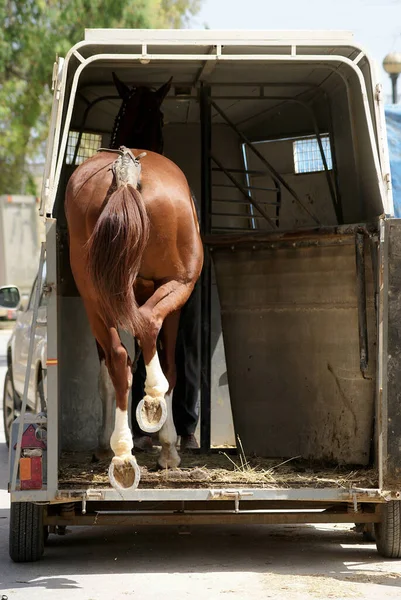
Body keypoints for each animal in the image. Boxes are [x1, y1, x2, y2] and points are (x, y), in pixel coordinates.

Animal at [66, 74, 205, 488]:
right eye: (161, 116)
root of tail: (127, 175)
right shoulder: (173, 299)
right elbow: (168, 359)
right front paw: (167, 446)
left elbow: (110, 371)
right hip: (177, 285)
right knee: (148, 336)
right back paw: (154, 415)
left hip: (93, 295)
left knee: (117, 359)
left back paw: (123, 453)